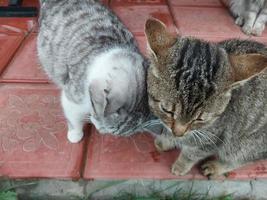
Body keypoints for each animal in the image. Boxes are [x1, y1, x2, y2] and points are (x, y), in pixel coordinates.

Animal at [146, 18, 267, 178]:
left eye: (200, 119)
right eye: (167, 110)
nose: (178, 133)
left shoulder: (213, 138)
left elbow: (193, 152)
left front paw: (180, 166)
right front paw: (167, 140)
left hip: (248, 143)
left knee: (242, 157)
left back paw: (217, 166)